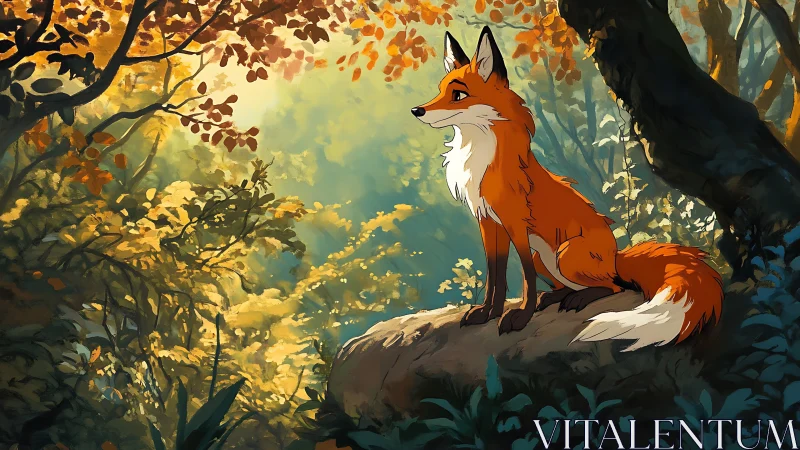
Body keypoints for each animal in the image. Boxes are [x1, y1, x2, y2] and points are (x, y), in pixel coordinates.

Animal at [411, 26, 724, 351]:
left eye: (458, 94)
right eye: (440, 90)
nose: (416, 110)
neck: (480, 156)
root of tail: (616, 258)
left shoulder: (515, 224)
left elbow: (524, 278)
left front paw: (521, 317)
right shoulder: (489, 223)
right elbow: (494, 277)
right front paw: (488, 313)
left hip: (566, 253)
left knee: (613, 286)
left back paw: (579, 299)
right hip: (548, 259)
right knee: (578, 285)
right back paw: (556, 297)